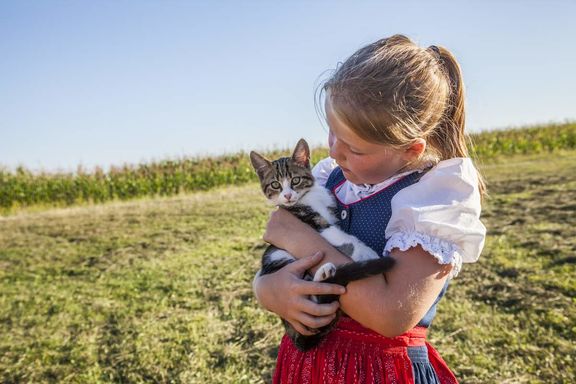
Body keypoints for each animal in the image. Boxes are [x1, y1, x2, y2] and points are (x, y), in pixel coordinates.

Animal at [250, 138, 394, 352]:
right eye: (275, 184)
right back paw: (324, 275)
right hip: (278, 257)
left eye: (295, 180)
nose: (287, 196)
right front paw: (366, 252)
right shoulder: (312, 222)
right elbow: (341, 236)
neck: (308, 198)